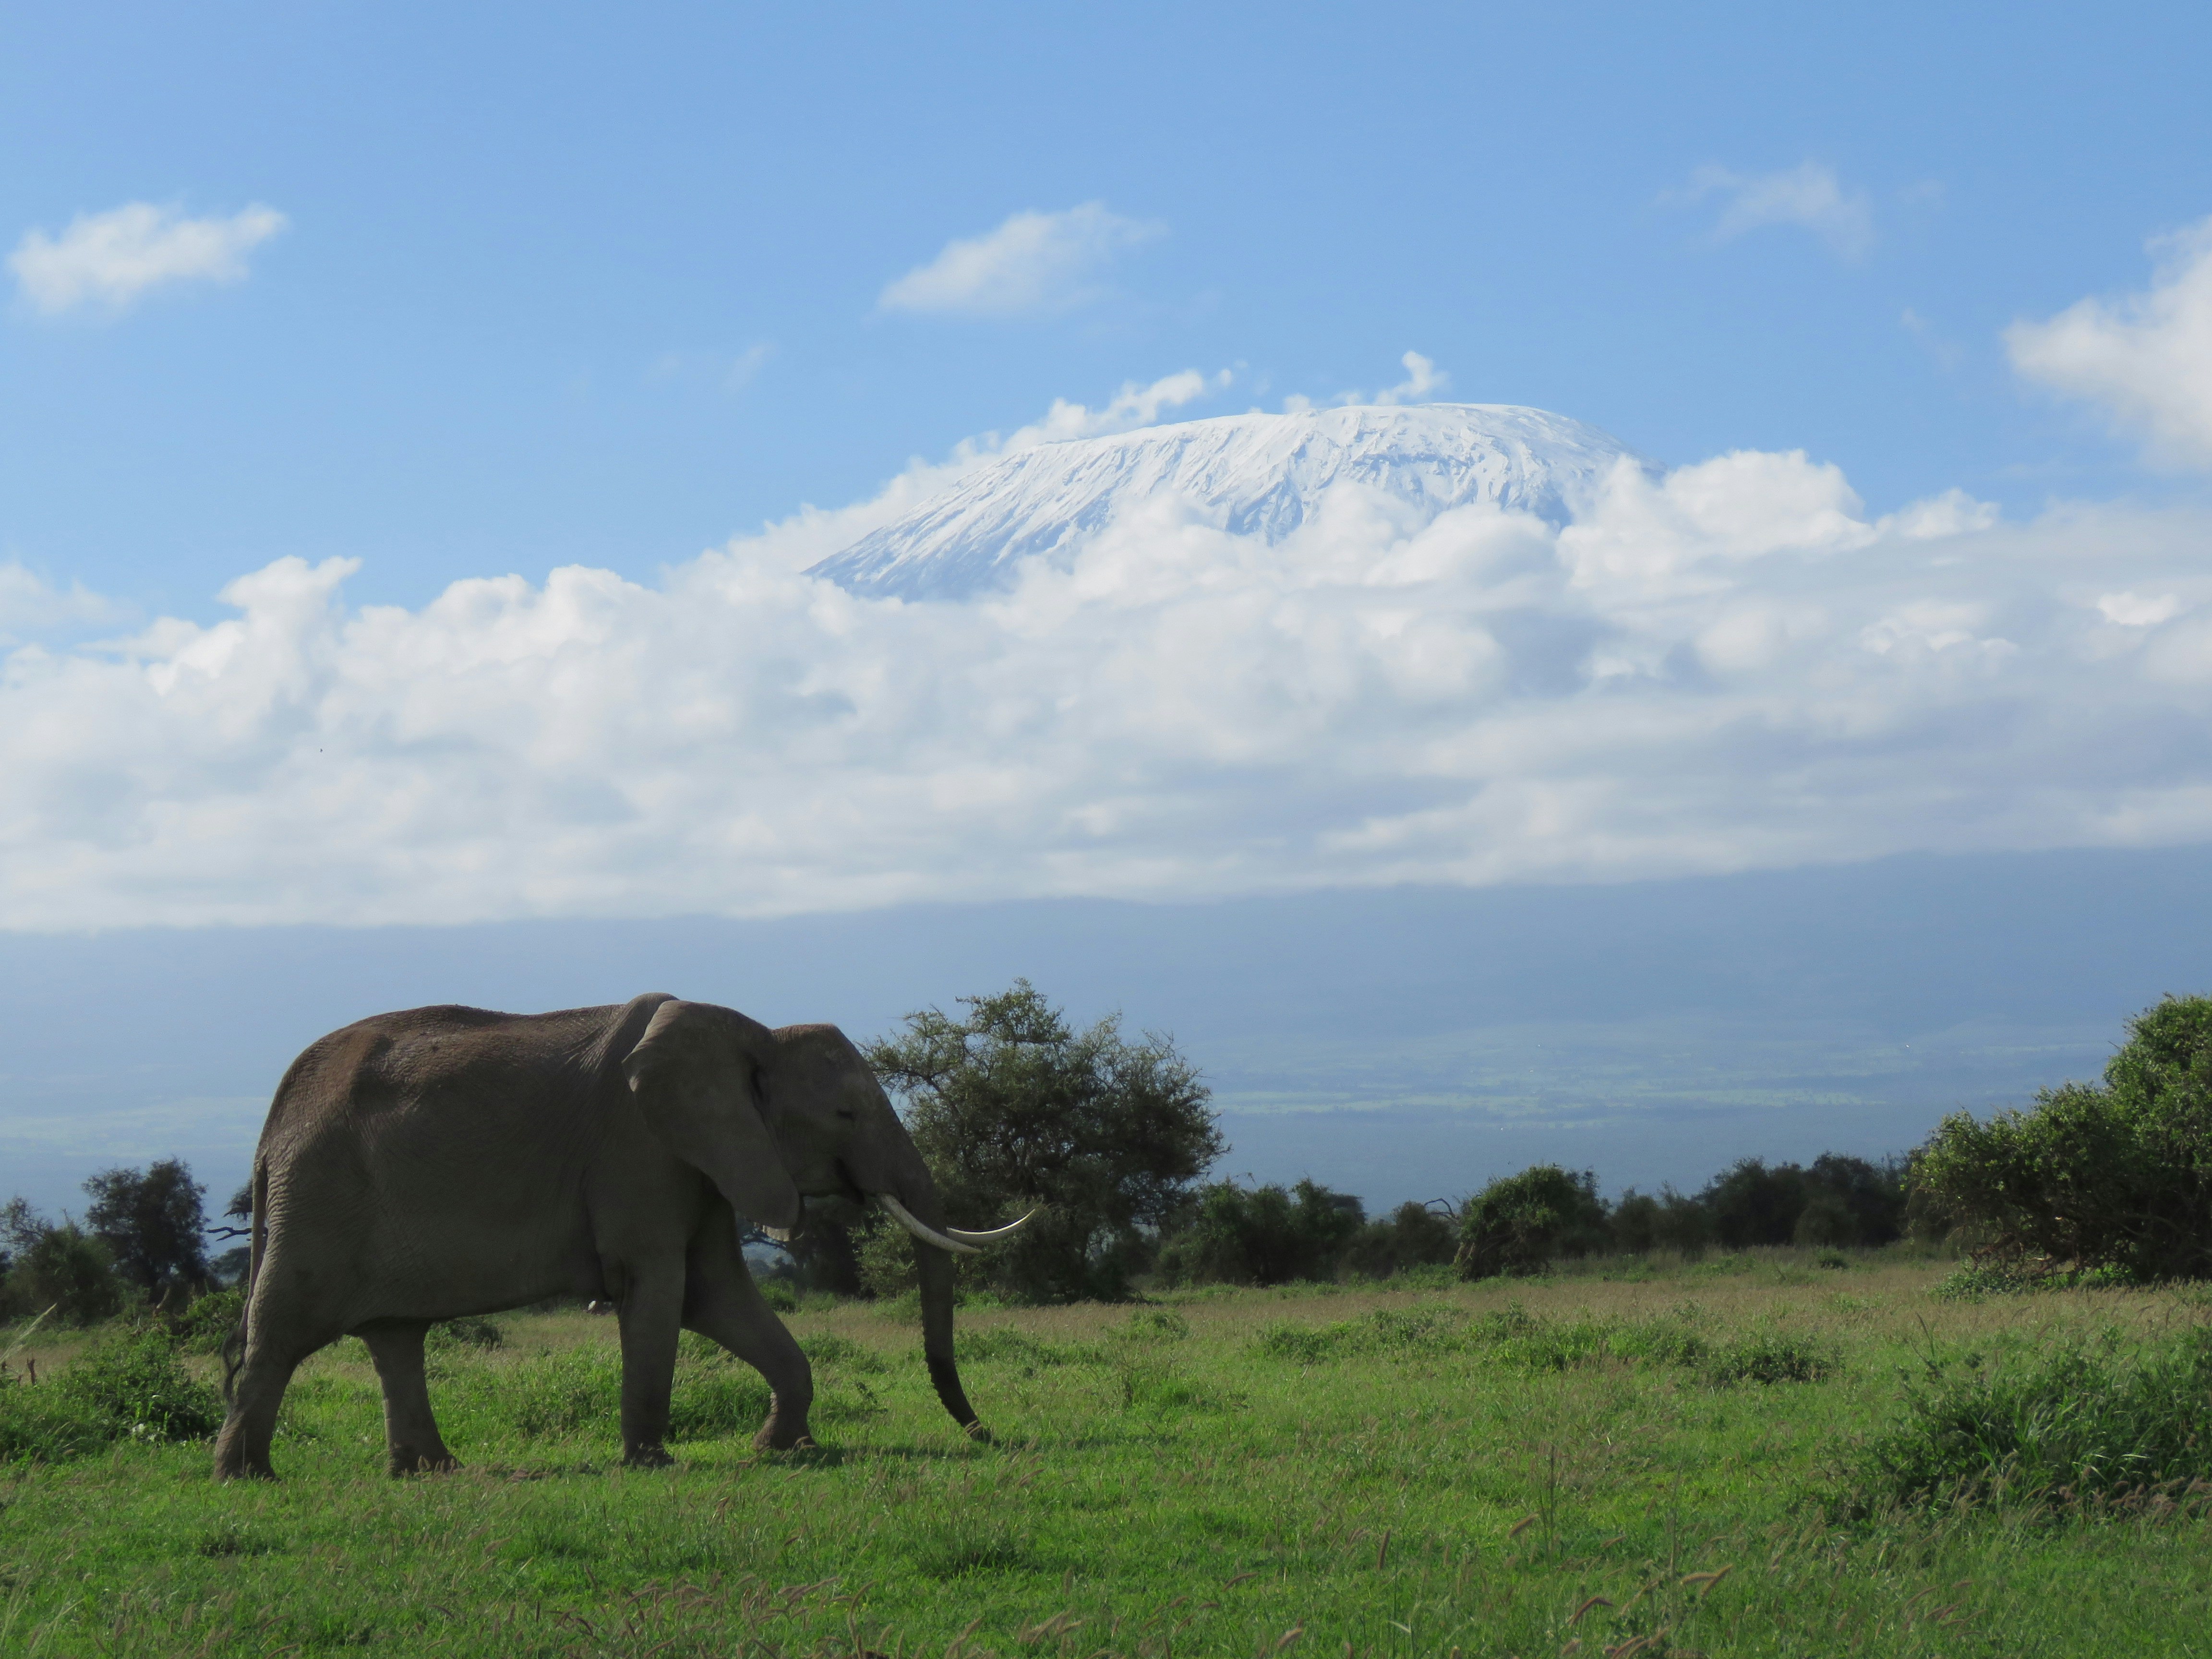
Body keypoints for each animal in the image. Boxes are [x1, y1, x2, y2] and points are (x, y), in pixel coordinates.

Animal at [212, 992, 1024, 1480]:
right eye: (847, 1115)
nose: (984, 1434)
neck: (753, 1036)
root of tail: (273, 1122)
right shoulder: (642, 1149)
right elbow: (663, 1289)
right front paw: (653, 1464)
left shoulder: (702, 1160)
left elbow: (717, 1295)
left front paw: (782, 1448)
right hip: (318, 1195)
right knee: (281, 1332)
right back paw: (246, 1477)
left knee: (394, 1337)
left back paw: (431, 1472)